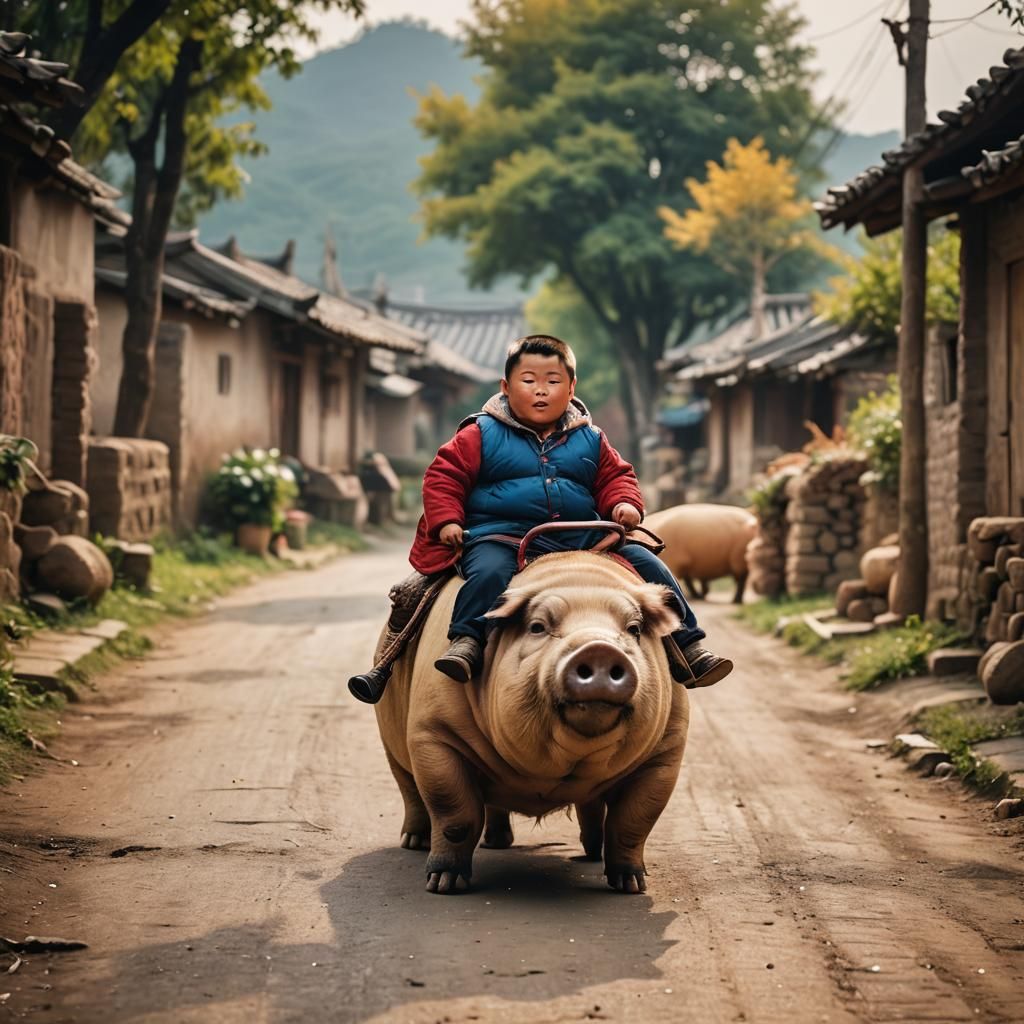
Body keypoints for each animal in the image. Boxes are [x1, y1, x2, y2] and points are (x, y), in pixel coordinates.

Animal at [373, 550, 689, 895]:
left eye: (634, 630)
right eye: (538, 627)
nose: (599, 648)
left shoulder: (666, 751)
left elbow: (633, 821)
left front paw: (631, 885)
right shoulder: (432, 732)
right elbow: (455, 813)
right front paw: (443, 885)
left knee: (588, 808)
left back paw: (586, 853)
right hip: (389, 737)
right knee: (409, 788)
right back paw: (416, 843)